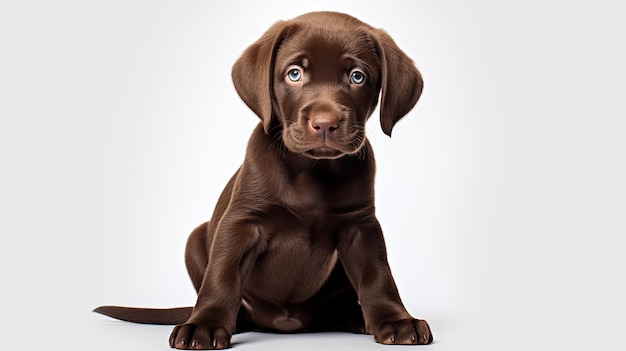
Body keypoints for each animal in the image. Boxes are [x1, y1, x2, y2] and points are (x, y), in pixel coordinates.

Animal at [95, 10, 432, 350]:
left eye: (357, 77)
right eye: (294, 74)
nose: (325, 124)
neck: (312, 169)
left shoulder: (359, 225)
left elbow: (378, 276)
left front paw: (396, 319)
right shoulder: (242, 223)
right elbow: (222, 275)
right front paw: (204, 325)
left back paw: (353, 316)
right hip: (196, 238)